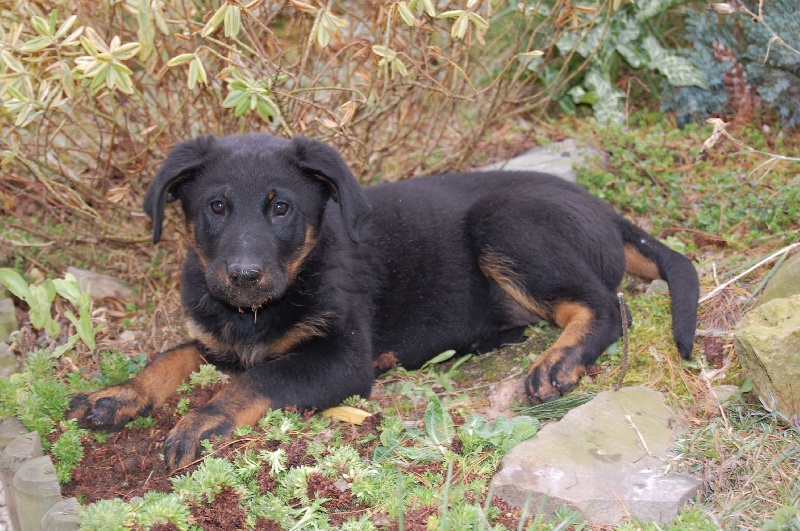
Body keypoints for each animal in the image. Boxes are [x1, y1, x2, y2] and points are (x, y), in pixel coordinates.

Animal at [69, 133, 696, 470]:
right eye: (216, 208)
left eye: (281, 208)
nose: (244, 276)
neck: (254, 313)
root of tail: (604, 209)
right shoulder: (220, 340)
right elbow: (171, 355)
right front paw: (117, 394)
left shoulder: (340, 360)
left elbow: (255, 381)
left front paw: (203, 419)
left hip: (504, 222)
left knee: (608, 305)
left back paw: (558, 360)